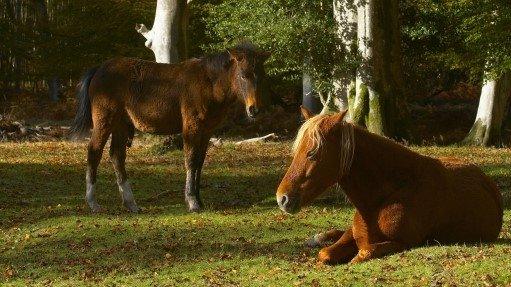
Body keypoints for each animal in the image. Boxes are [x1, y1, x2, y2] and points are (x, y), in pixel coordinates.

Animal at [73, 43, 272, 214]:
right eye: (243, 75)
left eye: (261, 76)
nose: (254, 109)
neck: (209, 84)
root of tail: (99, 69)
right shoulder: (192, 127)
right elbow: (190, 160)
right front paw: (192, 202)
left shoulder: (206, 131)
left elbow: (199, 163)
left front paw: (199, 200)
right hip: (105, 121)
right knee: (94, 152)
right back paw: (93, 202)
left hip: (121, 124)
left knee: (117, 156)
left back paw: (131, 203)